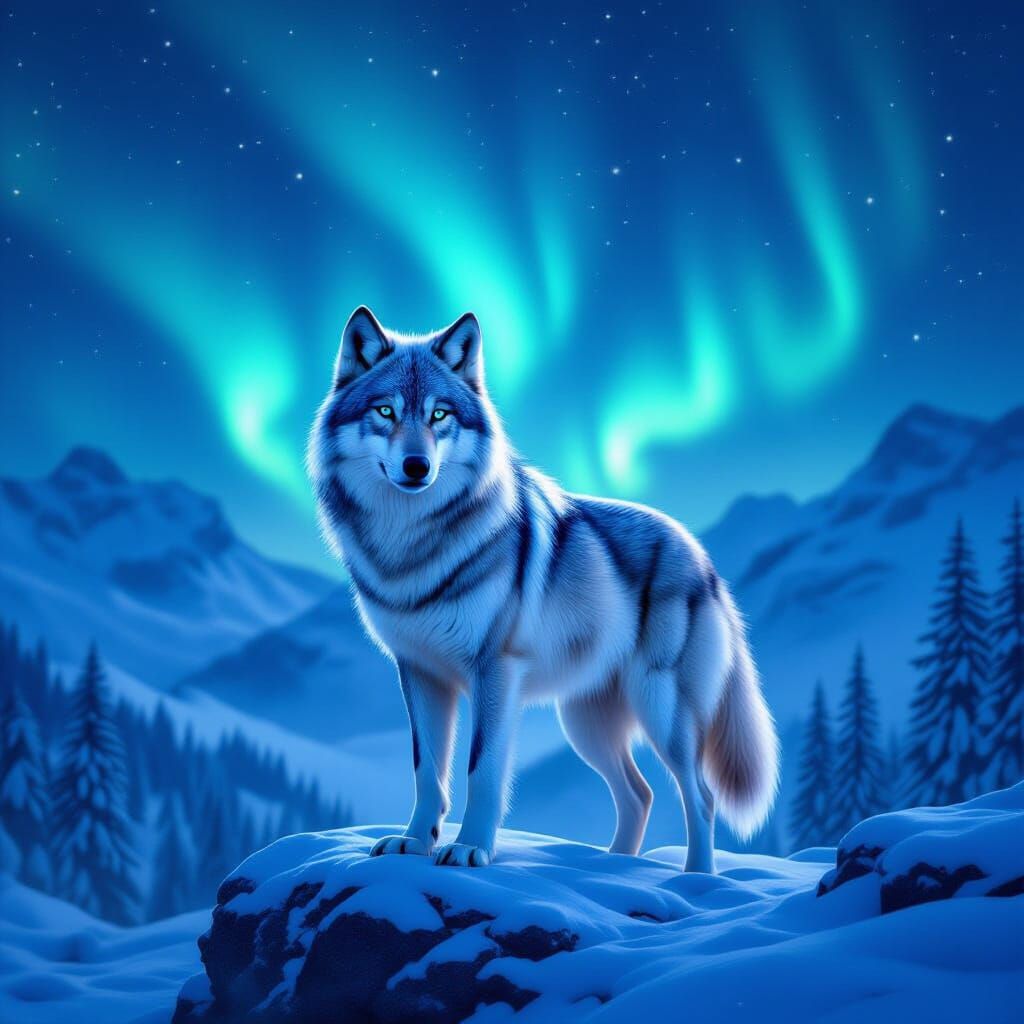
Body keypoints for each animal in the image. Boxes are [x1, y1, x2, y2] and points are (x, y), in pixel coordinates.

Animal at [308, 307, 778, 871]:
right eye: (385, 411)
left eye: (440, 415)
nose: (417, 467)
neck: (412, 545)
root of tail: (704, 559)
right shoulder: (420, 673)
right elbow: (427, 772)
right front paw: (415, 842)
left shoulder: (495, 672)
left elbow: (482, 771)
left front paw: (470, 849)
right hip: (584, 723)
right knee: (640, 794)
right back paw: (612, 867)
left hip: (661, 709)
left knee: (700, 796)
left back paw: (694, 879)